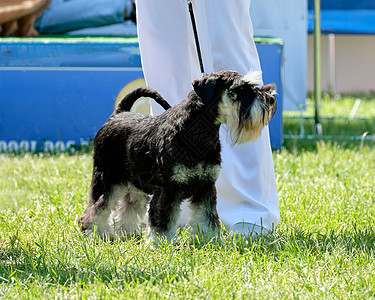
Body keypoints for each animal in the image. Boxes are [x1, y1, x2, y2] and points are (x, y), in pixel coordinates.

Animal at [80, 70, 276, 244]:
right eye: (239, 89)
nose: (271, 99)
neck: (197, 134)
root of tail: (118, 114)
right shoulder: (168, 189)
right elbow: (162, 220)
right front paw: (160, 244)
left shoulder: (206, 187)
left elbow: (206, 217)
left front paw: (210, 240)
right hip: (108, 179)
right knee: (96, 209)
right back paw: (97, 234)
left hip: (135, 183)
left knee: (127, 205)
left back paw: (126, 233)